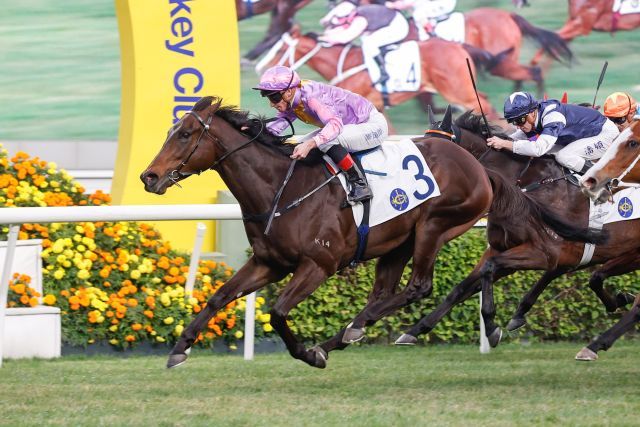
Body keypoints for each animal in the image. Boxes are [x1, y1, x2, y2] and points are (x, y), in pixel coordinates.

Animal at [398, 111, 636, 348]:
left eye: (435, 153)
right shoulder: (500, 248)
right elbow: (461, 288)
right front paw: (415, 330)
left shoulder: (543, 253)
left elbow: (489, 270)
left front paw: (492, 327)